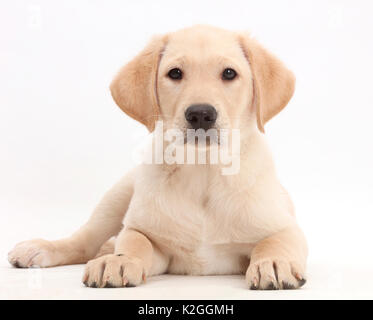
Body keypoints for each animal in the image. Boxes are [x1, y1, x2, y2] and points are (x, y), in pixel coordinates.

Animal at [7, 25, 306, 290]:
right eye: (175, 73)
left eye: (229, 73)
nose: (200, 114)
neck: (203, 170)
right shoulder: (148, 236)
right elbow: (135, 241)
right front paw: (120, 260)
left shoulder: (286, 227)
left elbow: (275, 242)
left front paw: (274, 262)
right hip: (118, 194)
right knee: (86, 241)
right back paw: (42, 249)